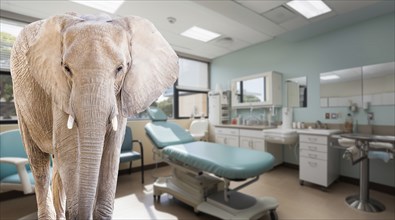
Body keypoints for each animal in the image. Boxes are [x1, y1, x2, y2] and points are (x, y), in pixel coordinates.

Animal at [10, 12, 179, 219]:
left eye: (120, 68)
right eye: (66, 68)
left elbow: (112, 148)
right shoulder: (57, 86)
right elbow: (68, 148)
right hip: (20, 100)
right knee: (39, 165)